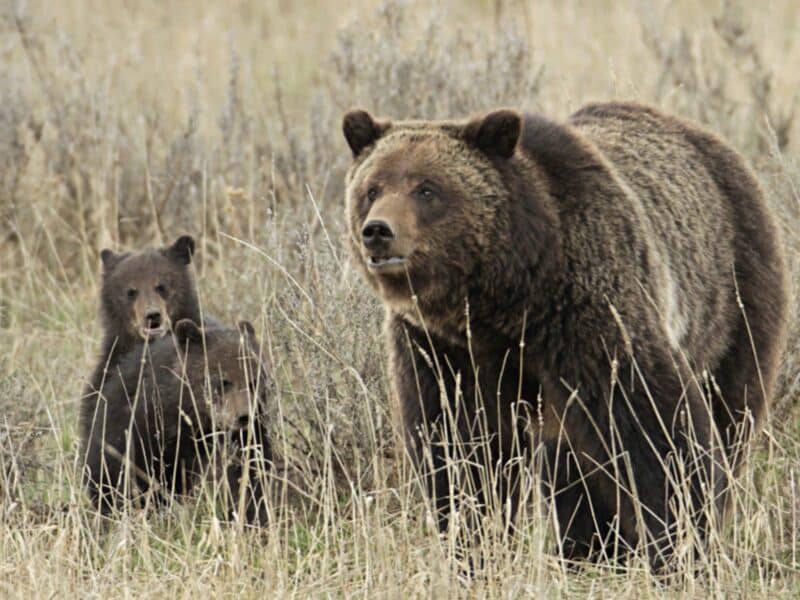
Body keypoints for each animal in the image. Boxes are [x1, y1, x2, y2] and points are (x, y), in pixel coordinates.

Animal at [341, 101, 788, 566]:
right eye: (372, 188)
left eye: (427, 189)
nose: (378, 231)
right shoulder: (441, 348)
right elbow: (460, 444)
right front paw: (473, 541)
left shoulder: (587, 311)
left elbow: (653, 424)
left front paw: (682, 542)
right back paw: (588, 547)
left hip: (732, 297)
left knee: (730, 410)